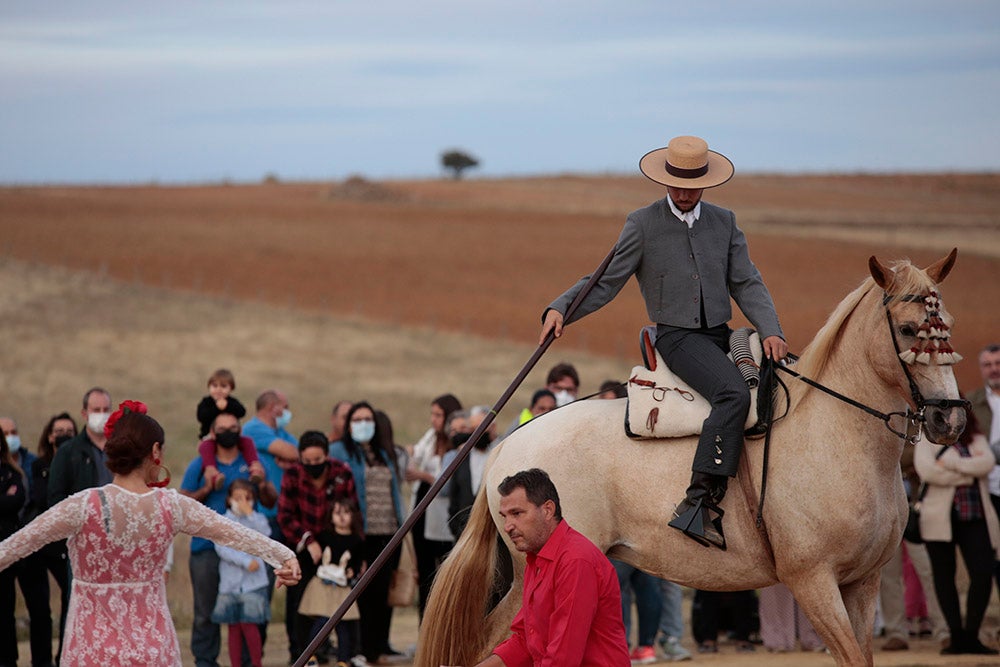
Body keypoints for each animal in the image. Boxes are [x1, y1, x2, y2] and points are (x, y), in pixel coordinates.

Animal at [416, 250, 968, 667]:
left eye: (946, 326)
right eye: (908, 329)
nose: (950, 419)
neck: (837, 435)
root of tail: (508, 444)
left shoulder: (862, 581)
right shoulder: (813, 581)